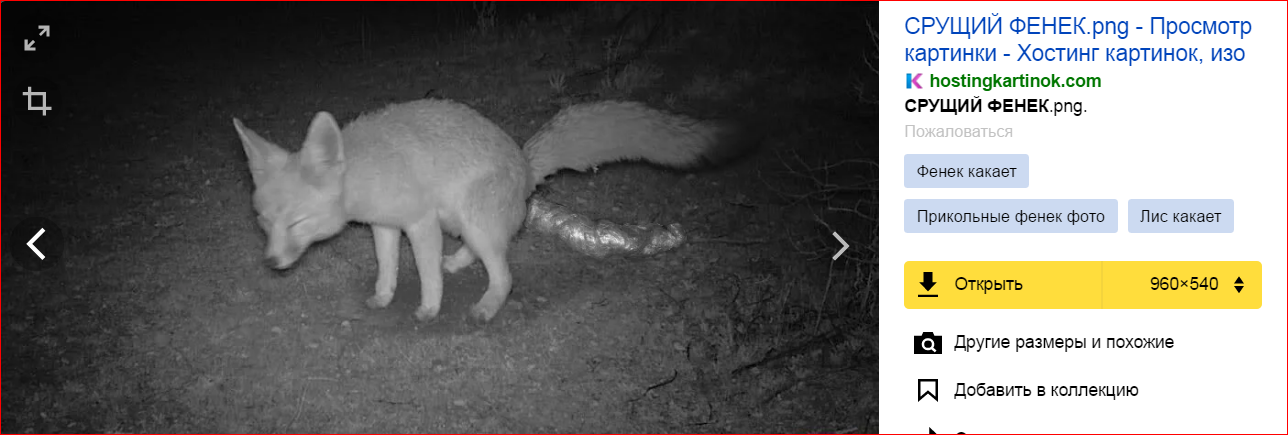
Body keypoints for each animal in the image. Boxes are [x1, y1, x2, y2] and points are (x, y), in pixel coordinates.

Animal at [236, 99, 752, 323]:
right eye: (264, 222)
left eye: (297, 223)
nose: (271, 262)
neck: (365, 168)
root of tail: (525, 164)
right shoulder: (385, 225)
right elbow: (387, 269)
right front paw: (384, 297)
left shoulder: (418, 222)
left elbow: (426, 275)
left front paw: (429, 309)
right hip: (462, 221)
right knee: (486, 254)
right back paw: (463, 266)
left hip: (469, 218)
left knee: (504, 274)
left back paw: (485, 307)